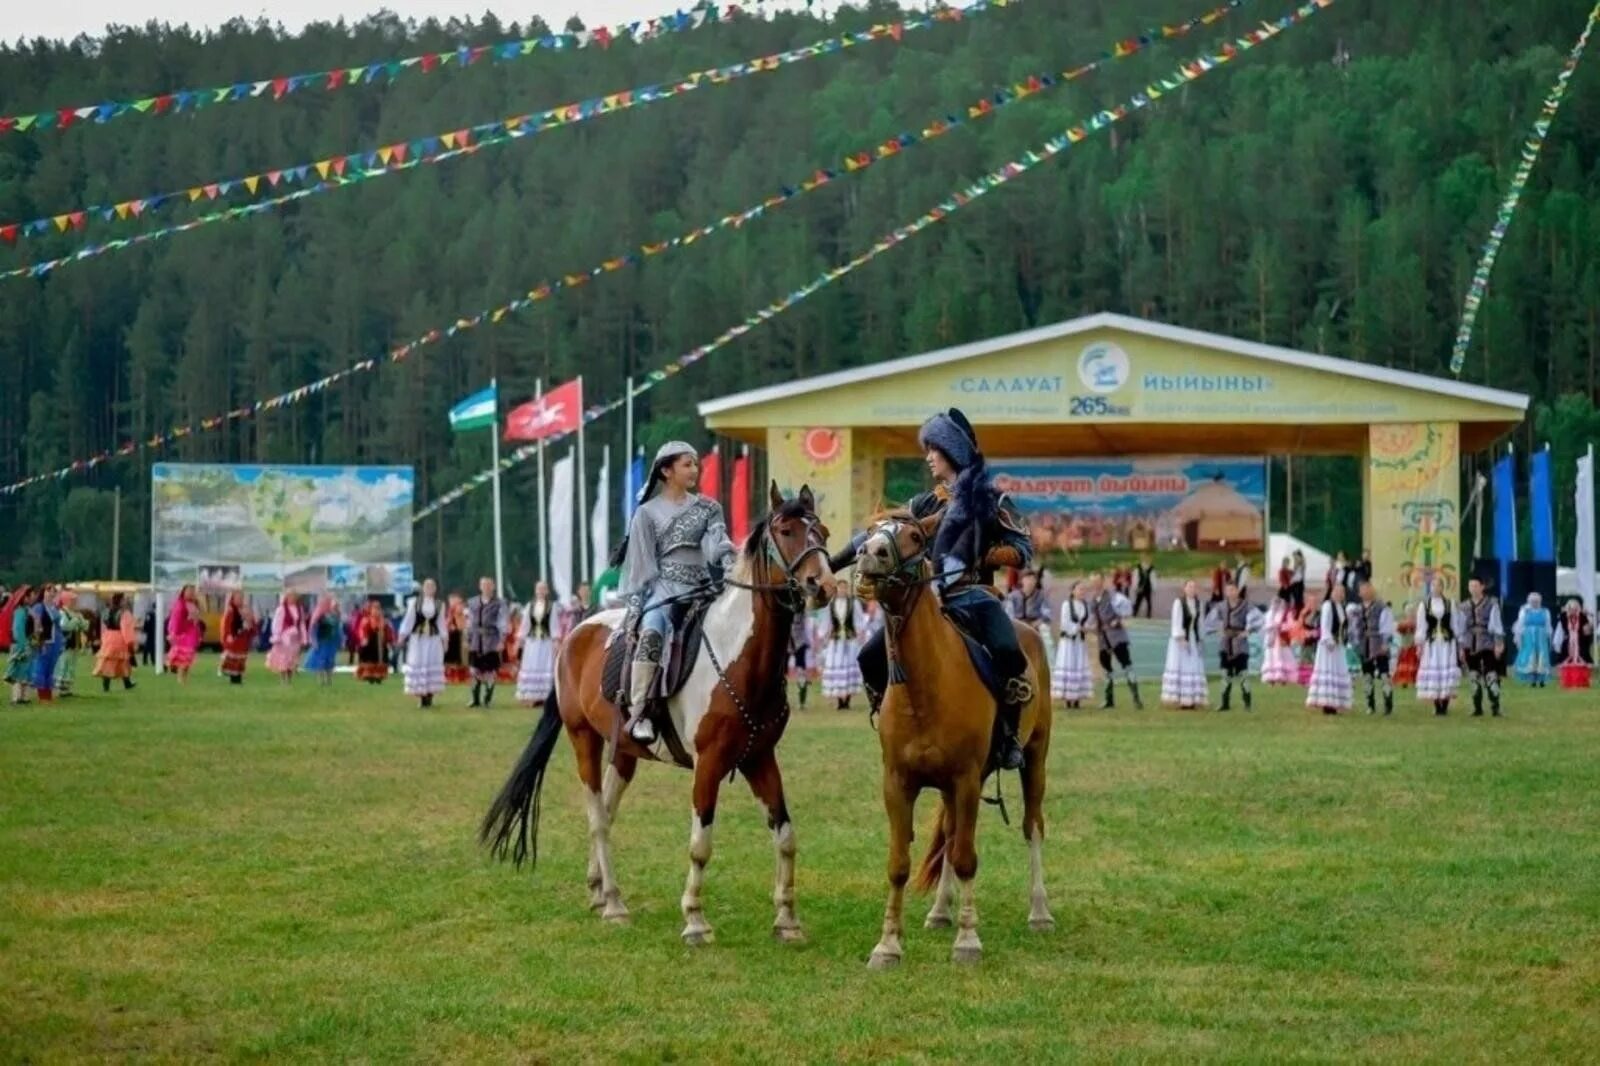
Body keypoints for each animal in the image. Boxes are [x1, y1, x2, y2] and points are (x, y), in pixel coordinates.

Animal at [476, 486, 838, 941]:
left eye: (823, 531)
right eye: (787, 531)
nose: (823, 584)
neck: (739, 656)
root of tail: (576, 633)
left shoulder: (760, 758)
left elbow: (786, 835)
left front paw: (788, 921)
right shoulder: (709, 763)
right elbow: (700, 844)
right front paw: (695, 920)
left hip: (624, 750)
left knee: (608, 811)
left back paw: (599, 891)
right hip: (582, 738)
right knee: (597, 817)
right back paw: (614, 903)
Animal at [844, 505, 1056, 960]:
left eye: (914, 538)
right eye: (870, 533)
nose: (871, 554)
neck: (925, 687)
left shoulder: (965, 779)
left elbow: (965, 858)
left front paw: (968, 940)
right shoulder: (898, 782)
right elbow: (900, 864)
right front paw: (887, 945)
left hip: (1035, 756)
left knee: (1032, 825)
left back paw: (1040, 912)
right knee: (949, 831)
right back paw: (940, 911)